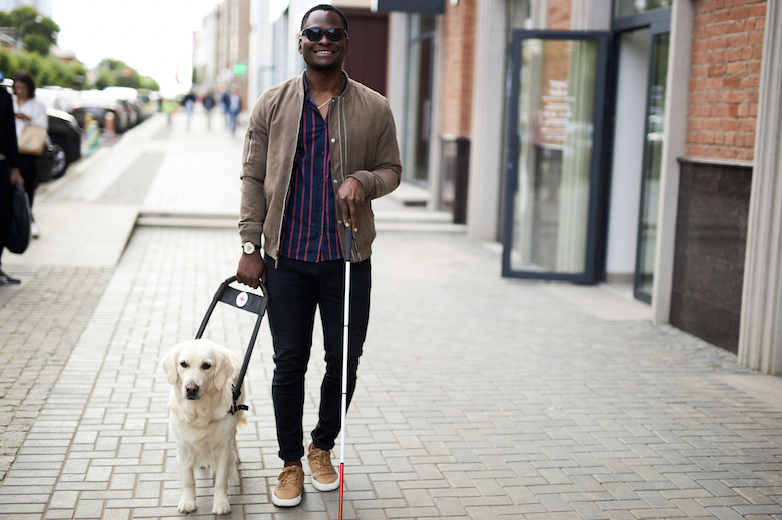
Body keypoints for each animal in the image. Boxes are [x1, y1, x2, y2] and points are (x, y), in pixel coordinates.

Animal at [159, 340, 245, 512]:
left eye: (206, 365)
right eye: (183, 364)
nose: (191, 388)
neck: (199, 414)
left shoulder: (223, 449)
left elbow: (221, 480)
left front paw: (221, 503)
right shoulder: (183, 448)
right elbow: (188, 480)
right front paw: (187, 501)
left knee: (234, 437)